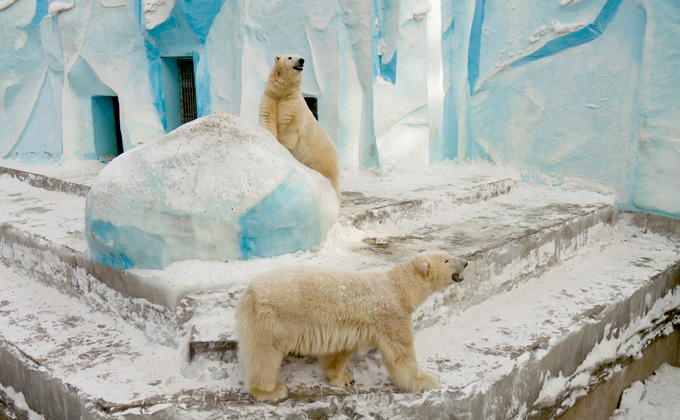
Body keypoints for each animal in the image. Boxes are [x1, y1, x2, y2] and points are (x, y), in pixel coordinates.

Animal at [235, 251, 468, 402]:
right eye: (447, 259)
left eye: (448, 253)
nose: (466, 262)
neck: (397, 288)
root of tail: (249, 293)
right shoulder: (392, 317)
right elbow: (401, 355)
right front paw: (427, 380)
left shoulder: (347, 325)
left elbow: (338, 352)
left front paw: (343, 378)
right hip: (271, 321)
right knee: (264, 356)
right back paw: (271, 390)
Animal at [258, 54, 342, 199]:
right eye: (290, 57)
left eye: (300, 56)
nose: (302, 60)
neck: (282, 92)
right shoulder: (270, 97)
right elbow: (267, 118)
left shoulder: (293, 105)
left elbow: (289, 126)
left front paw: (283, 148)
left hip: (322, 159)